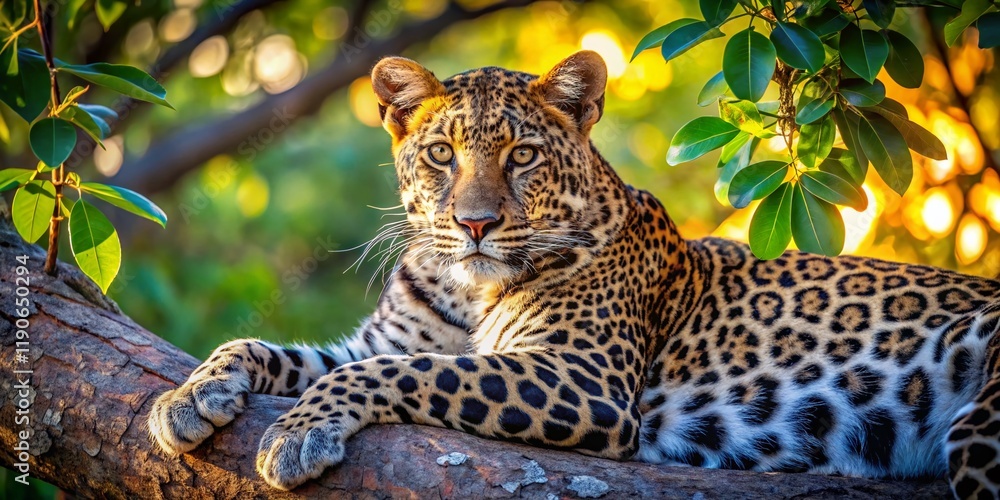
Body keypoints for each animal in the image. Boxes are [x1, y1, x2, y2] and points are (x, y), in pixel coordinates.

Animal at [147, 51, 1000, 498]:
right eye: (441, 154)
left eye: (522, 154)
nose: (475, 224)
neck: (467, 288)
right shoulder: (378, 340)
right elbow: (277, 350)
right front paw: (186, 398)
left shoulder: (581, 376)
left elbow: (405, 372)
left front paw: (298, 432)